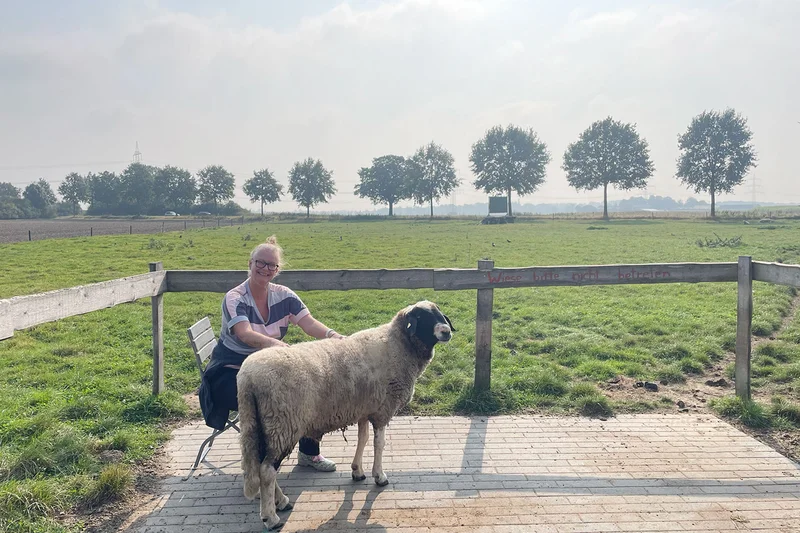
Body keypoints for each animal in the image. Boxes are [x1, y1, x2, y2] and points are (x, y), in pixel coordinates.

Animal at [236, 300, 455, 530]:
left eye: (439, 312)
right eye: (421, 317)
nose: (446, 331)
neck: (398, 345)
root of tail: (247, 378)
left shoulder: (364, 408)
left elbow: (363, 439)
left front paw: (357, 471)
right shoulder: (382, 409)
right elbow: (379, 444)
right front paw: (379, 476)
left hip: (261, 425)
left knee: (261, 467)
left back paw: (282, 501)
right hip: (282, 423)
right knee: (267, 470)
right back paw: (271, 517)